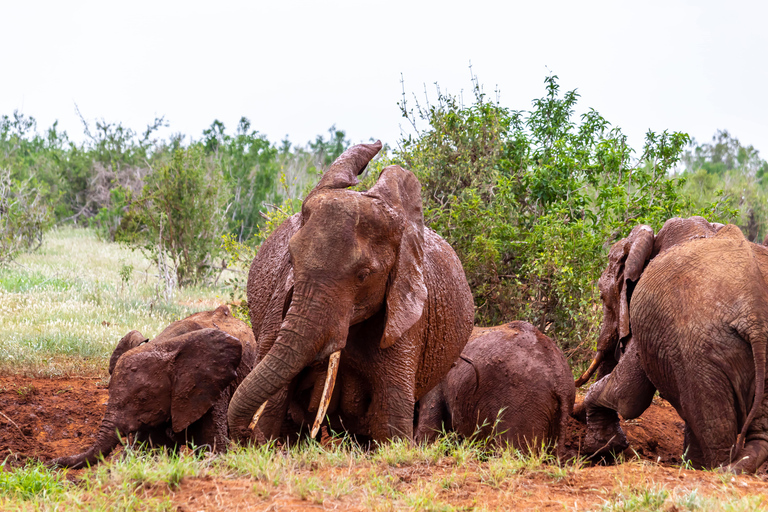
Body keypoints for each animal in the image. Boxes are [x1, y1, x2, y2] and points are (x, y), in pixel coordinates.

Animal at [54, 304, 260, 468]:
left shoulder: (211, 387)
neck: (165, 344)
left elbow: (212, 445)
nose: (51, 463)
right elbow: (153, 451)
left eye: (143, 399)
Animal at [226, 140, 474, 444]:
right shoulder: (279, 303)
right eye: (291, 261)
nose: (248, 434)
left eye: (364, 275)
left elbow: (392, 419)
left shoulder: (405, 313)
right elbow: (273, 404)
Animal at [580, 224, 768, 472]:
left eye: (601, 296)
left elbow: (629, 396)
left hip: (700, 350)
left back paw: (717, 469)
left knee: (713, 425)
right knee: (758, 437)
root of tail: (755, 316)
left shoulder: (646, 321)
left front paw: (600, 448)